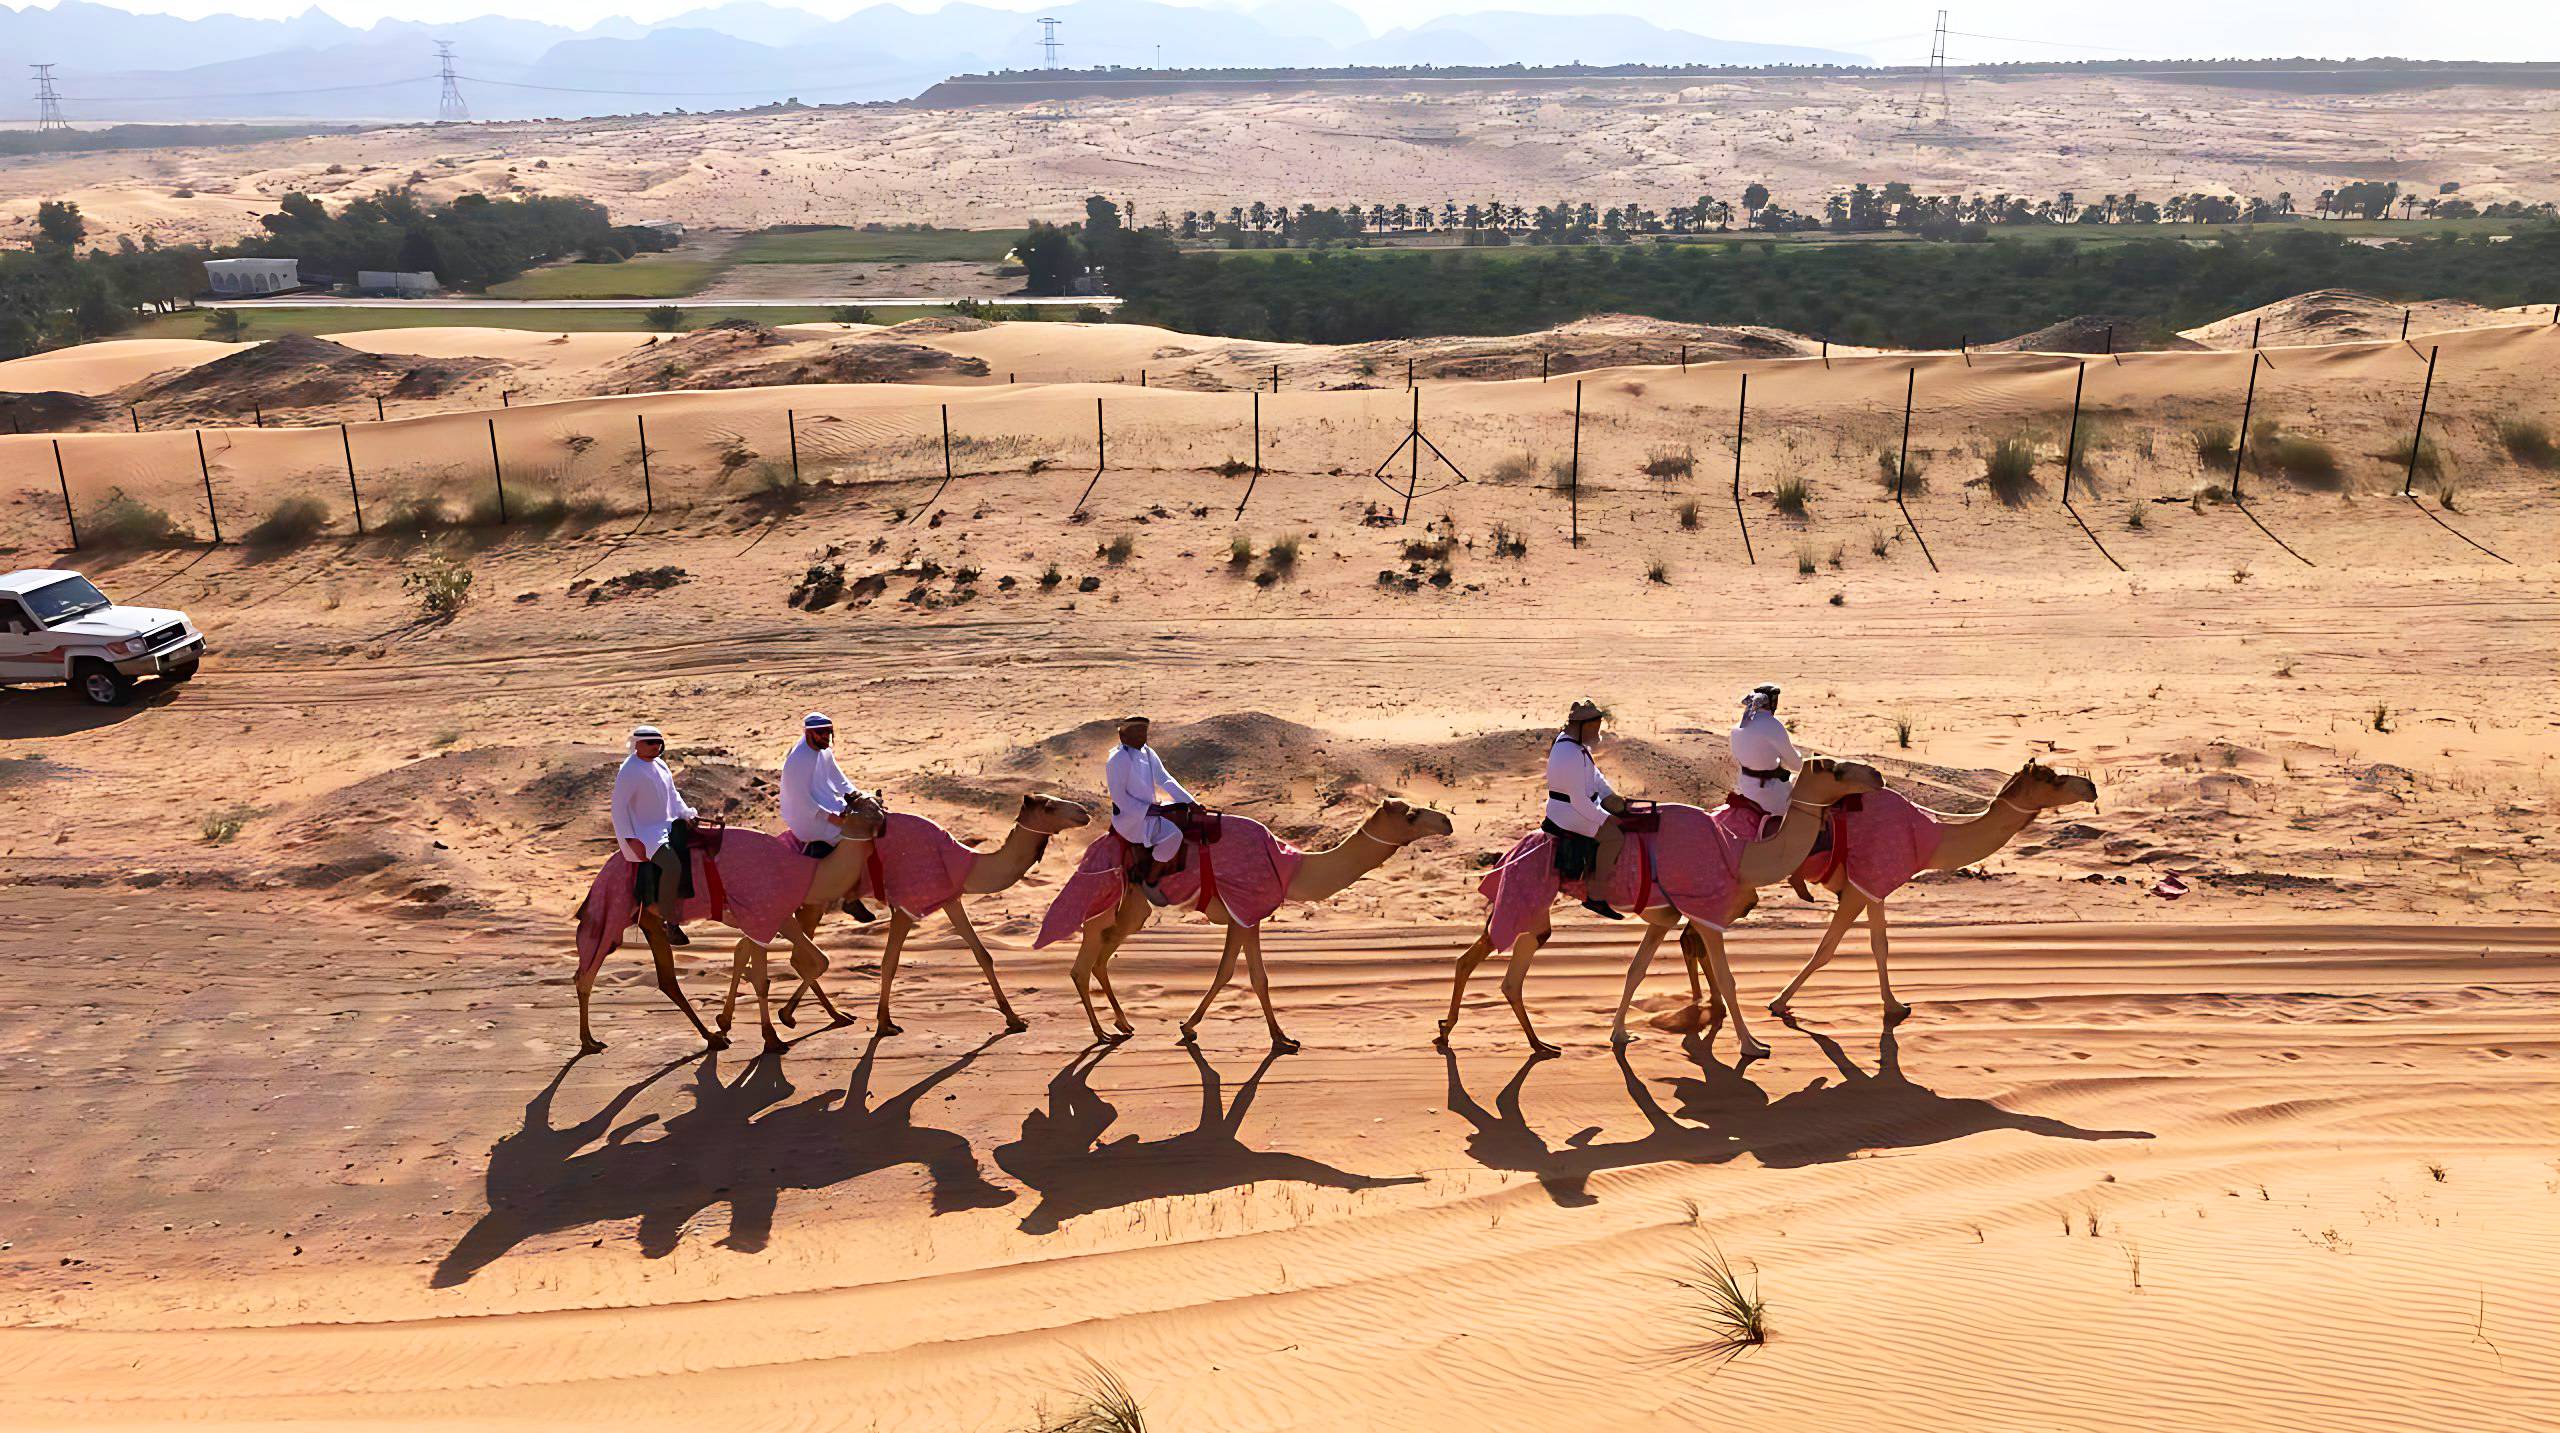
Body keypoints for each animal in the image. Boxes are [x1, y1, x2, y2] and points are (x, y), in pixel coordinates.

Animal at [711, 793, 1090, 1038]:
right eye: (1050, 805)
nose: (1085, 812)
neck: (965, 861)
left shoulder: (948, 896)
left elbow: (982, 954)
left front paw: (1014, 1019)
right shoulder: (907, 903)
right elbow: (890, 961)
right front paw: (884, 1023)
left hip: (801, 905)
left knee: (756, 949)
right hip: (794, 902)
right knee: (776, 951)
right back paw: (775, 1019)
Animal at [1044, 798, 1454, 1049]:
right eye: (1410, 815)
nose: (1447, 821)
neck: (1293, 868)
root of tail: (1094, 846)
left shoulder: (1242, 917)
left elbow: (1239, 972)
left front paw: (1196, 1026)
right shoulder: (1246, 909)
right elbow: (1248, 975)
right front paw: (1279, 1038)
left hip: (1133, 905)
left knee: (1102, 956)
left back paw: (1123, 1024)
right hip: (1105, 894)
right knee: (1084, 961)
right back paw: (1102, 1033)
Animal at [1454, 757, 1894, 1059]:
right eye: (1837, 770)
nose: (1877, 775)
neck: (1737, 854)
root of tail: (1514, 849)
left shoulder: (1665, 917)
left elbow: (1636, 970)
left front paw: (1619, 1033)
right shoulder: (1709, 913)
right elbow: (1727, 979)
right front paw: (1752, 1044)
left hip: (1530, 904)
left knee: (1503, 967)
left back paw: (1521, 1041)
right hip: (1526, 890)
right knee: (1494, 957)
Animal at [1771, 762, 2109, 1018]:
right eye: (2052, 779)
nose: (2091, 787)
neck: (1933, 837)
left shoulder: (1873, 886)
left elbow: (1880, 945)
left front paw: (1895, 1006)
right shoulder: (1861, 884)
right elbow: (1826, 949)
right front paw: (1778, 1003)